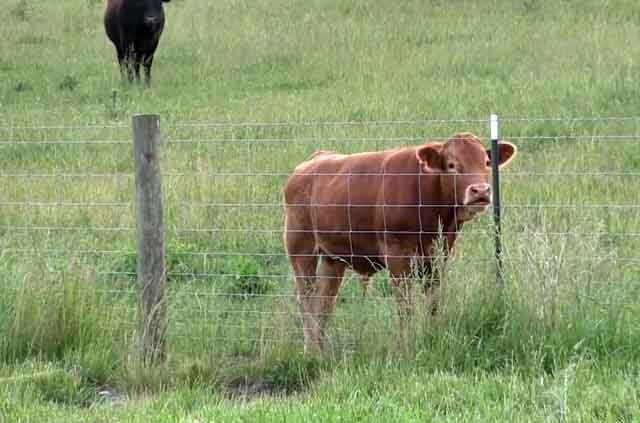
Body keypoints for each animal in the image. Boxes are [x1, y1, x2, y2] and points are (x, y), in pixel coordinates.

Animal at [282, 134, 516, 352]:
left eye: (486, 162)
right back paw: (312, 350)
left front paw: (432, 337)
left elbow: (433, 303)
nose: (481, 191)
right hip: (301, 250)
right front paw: (405, 347)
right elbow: (405, 306)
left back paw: (321, 349)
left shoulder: (439, 256)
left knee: (324, 303)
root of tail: (314, 160)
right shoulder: (397, 255)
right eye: (451, 165)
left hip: (333, 259)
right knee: (305, 300)